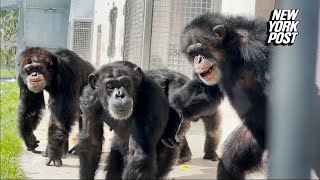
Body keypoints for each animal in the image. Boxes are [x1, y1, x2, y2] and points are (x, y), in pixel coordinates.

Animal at [180, 13, 270, 179]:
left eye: (201, 49)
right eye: (192, 53)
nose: (198, 60)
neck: (229, 51)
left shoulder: (259, 48)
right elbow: (206, 89)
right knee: (229, 163)